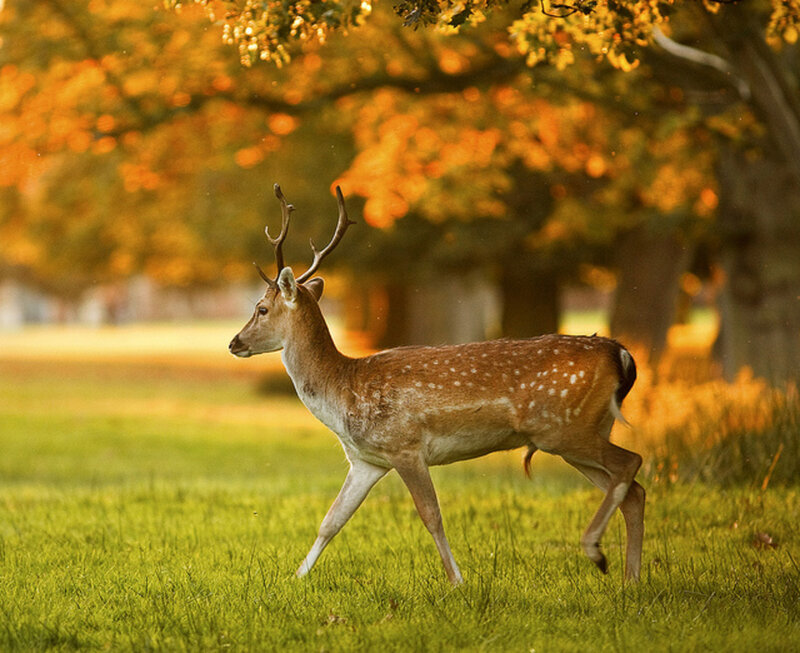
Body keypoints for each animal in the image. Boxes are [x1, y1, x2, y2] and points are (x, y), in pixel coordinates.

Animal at [229, 184, 645, 585]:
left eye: (261, 309)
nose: (234, 343)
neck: (344, 393)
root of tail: (620, 353)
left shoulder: (405, 446)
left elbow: (431, 516)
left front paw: (456, 581)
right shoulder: (366, 460)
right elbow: (331, 521)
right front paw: (294, 579)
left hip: (565, 428)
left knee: (632, 463)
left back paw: (597, 552)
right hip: (581, 431)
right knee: (632, 490)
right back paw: (632, 580)